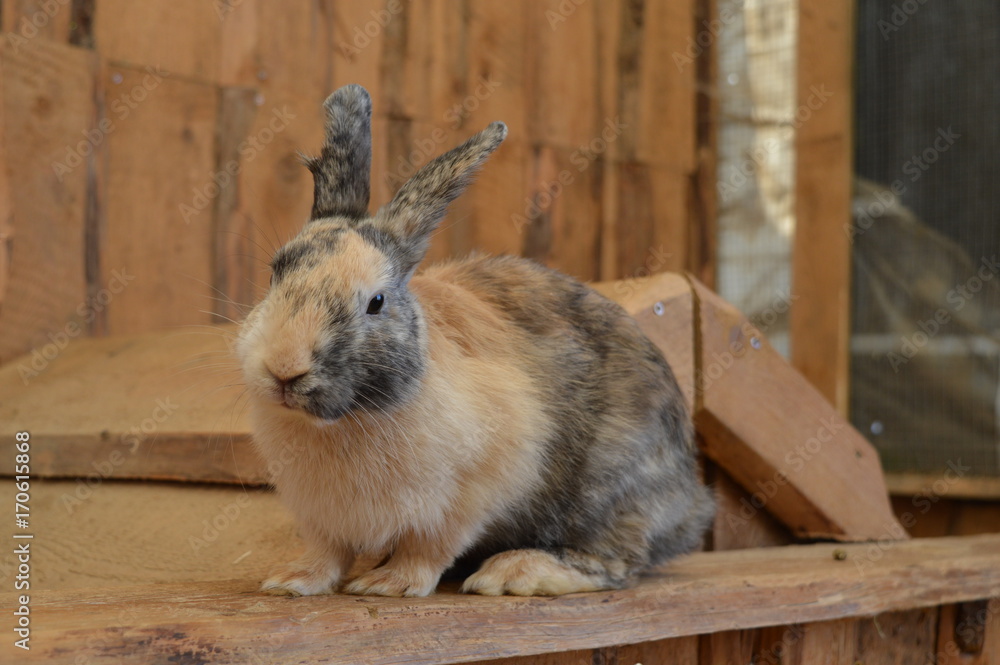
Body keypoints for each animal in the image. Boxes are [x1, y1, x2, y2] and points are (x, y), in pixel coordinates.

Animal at [236, 84, 715, 598]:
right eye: (276, 273)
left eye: (376, 302)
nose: (284, 368)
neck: (346, 420)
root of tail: (692, 502)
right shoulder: (324, 520)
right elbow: (327, 552)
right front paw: (292, 581)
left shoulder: (469, 495)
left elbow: (429, 548)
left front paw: (388, 585)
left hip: (614, 490)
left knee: (616, 562)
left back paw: (515, 572)